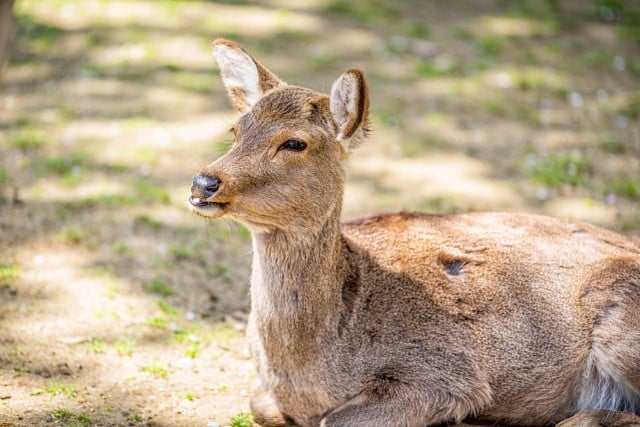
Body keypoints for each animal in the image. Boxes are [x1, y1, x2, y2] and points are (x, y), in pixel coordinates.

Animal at [189, 38, 640, 426]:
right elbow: (259, 402)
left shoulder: (447, 372)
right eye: (235, 130)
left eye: (295, 143)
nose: (204, 183)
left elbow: (335, 419)